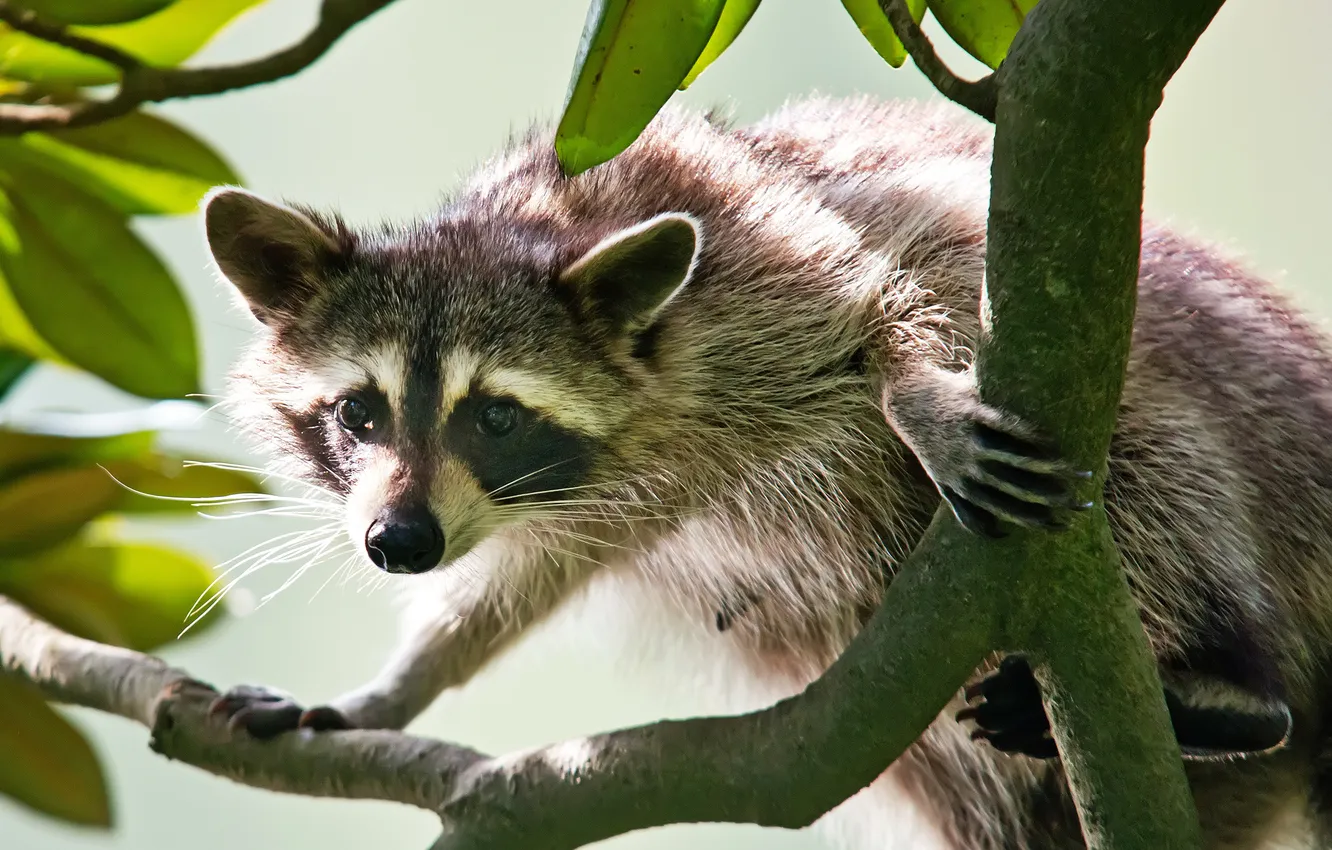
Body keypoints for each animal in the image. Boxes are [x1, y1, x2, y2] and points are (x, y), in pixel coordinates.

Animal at [199, 99, 1332, 850]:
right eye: (359, 412)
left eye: (497, 416)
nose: (398, 542)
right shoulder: (599, 499)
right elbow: (522, 583)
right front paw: (392, 689)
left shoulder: (753, 253)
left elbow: (887, 294)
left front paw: (915, 396)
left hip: (1236, 428)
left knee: (1154, 450)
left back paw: (1232, 680)